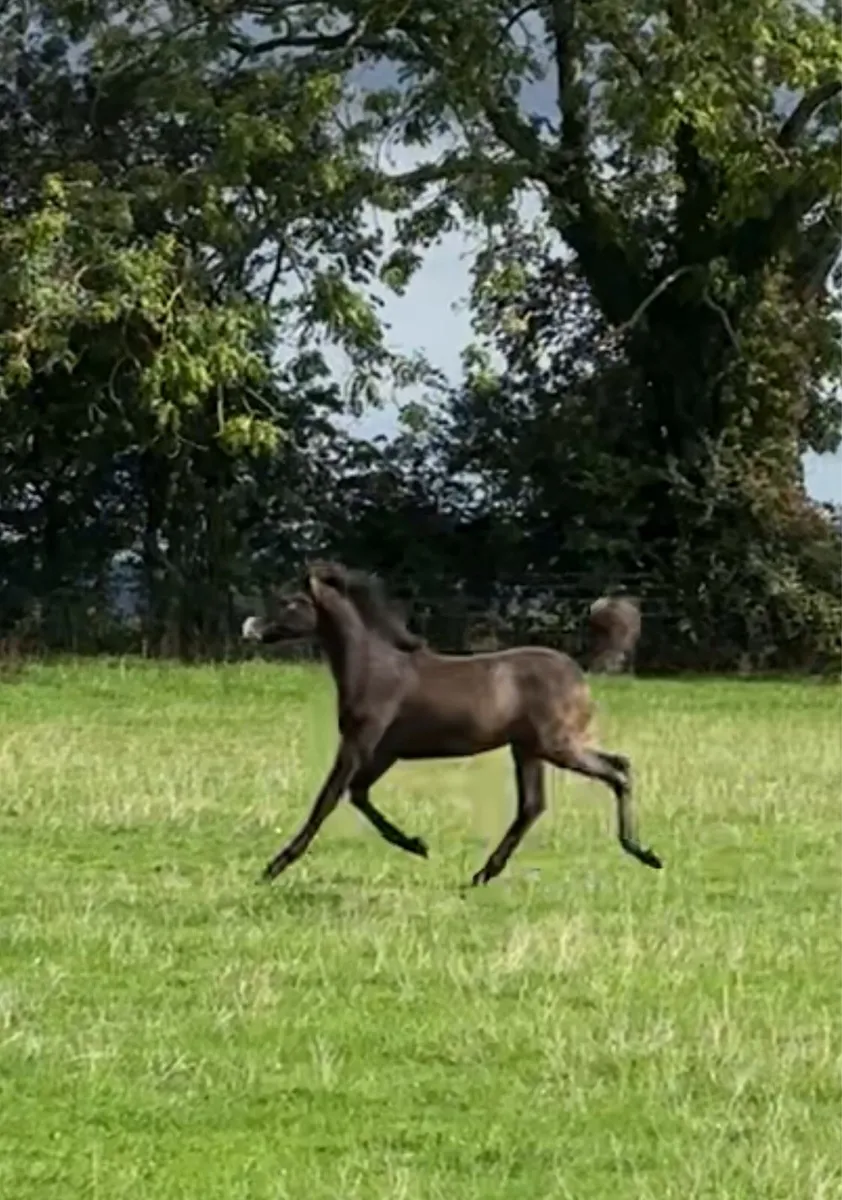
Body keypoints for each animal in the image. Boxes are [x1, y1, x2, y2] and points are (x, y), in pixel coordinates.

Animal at [242, 562, 662, 886]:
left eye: (292, 601)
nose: (253, 628)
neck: (376, 668)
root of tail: (579, 672)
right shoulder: (385, 751)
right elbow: (358, 794)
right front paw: (417, 844)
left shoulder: (360, 742)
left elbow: (327, 799)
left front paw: (273, 867)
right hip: (528, 748)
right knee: (541, 801)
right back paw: (485, 874)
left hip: (554, 745)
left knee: (615, 772)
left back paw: (642, 853)